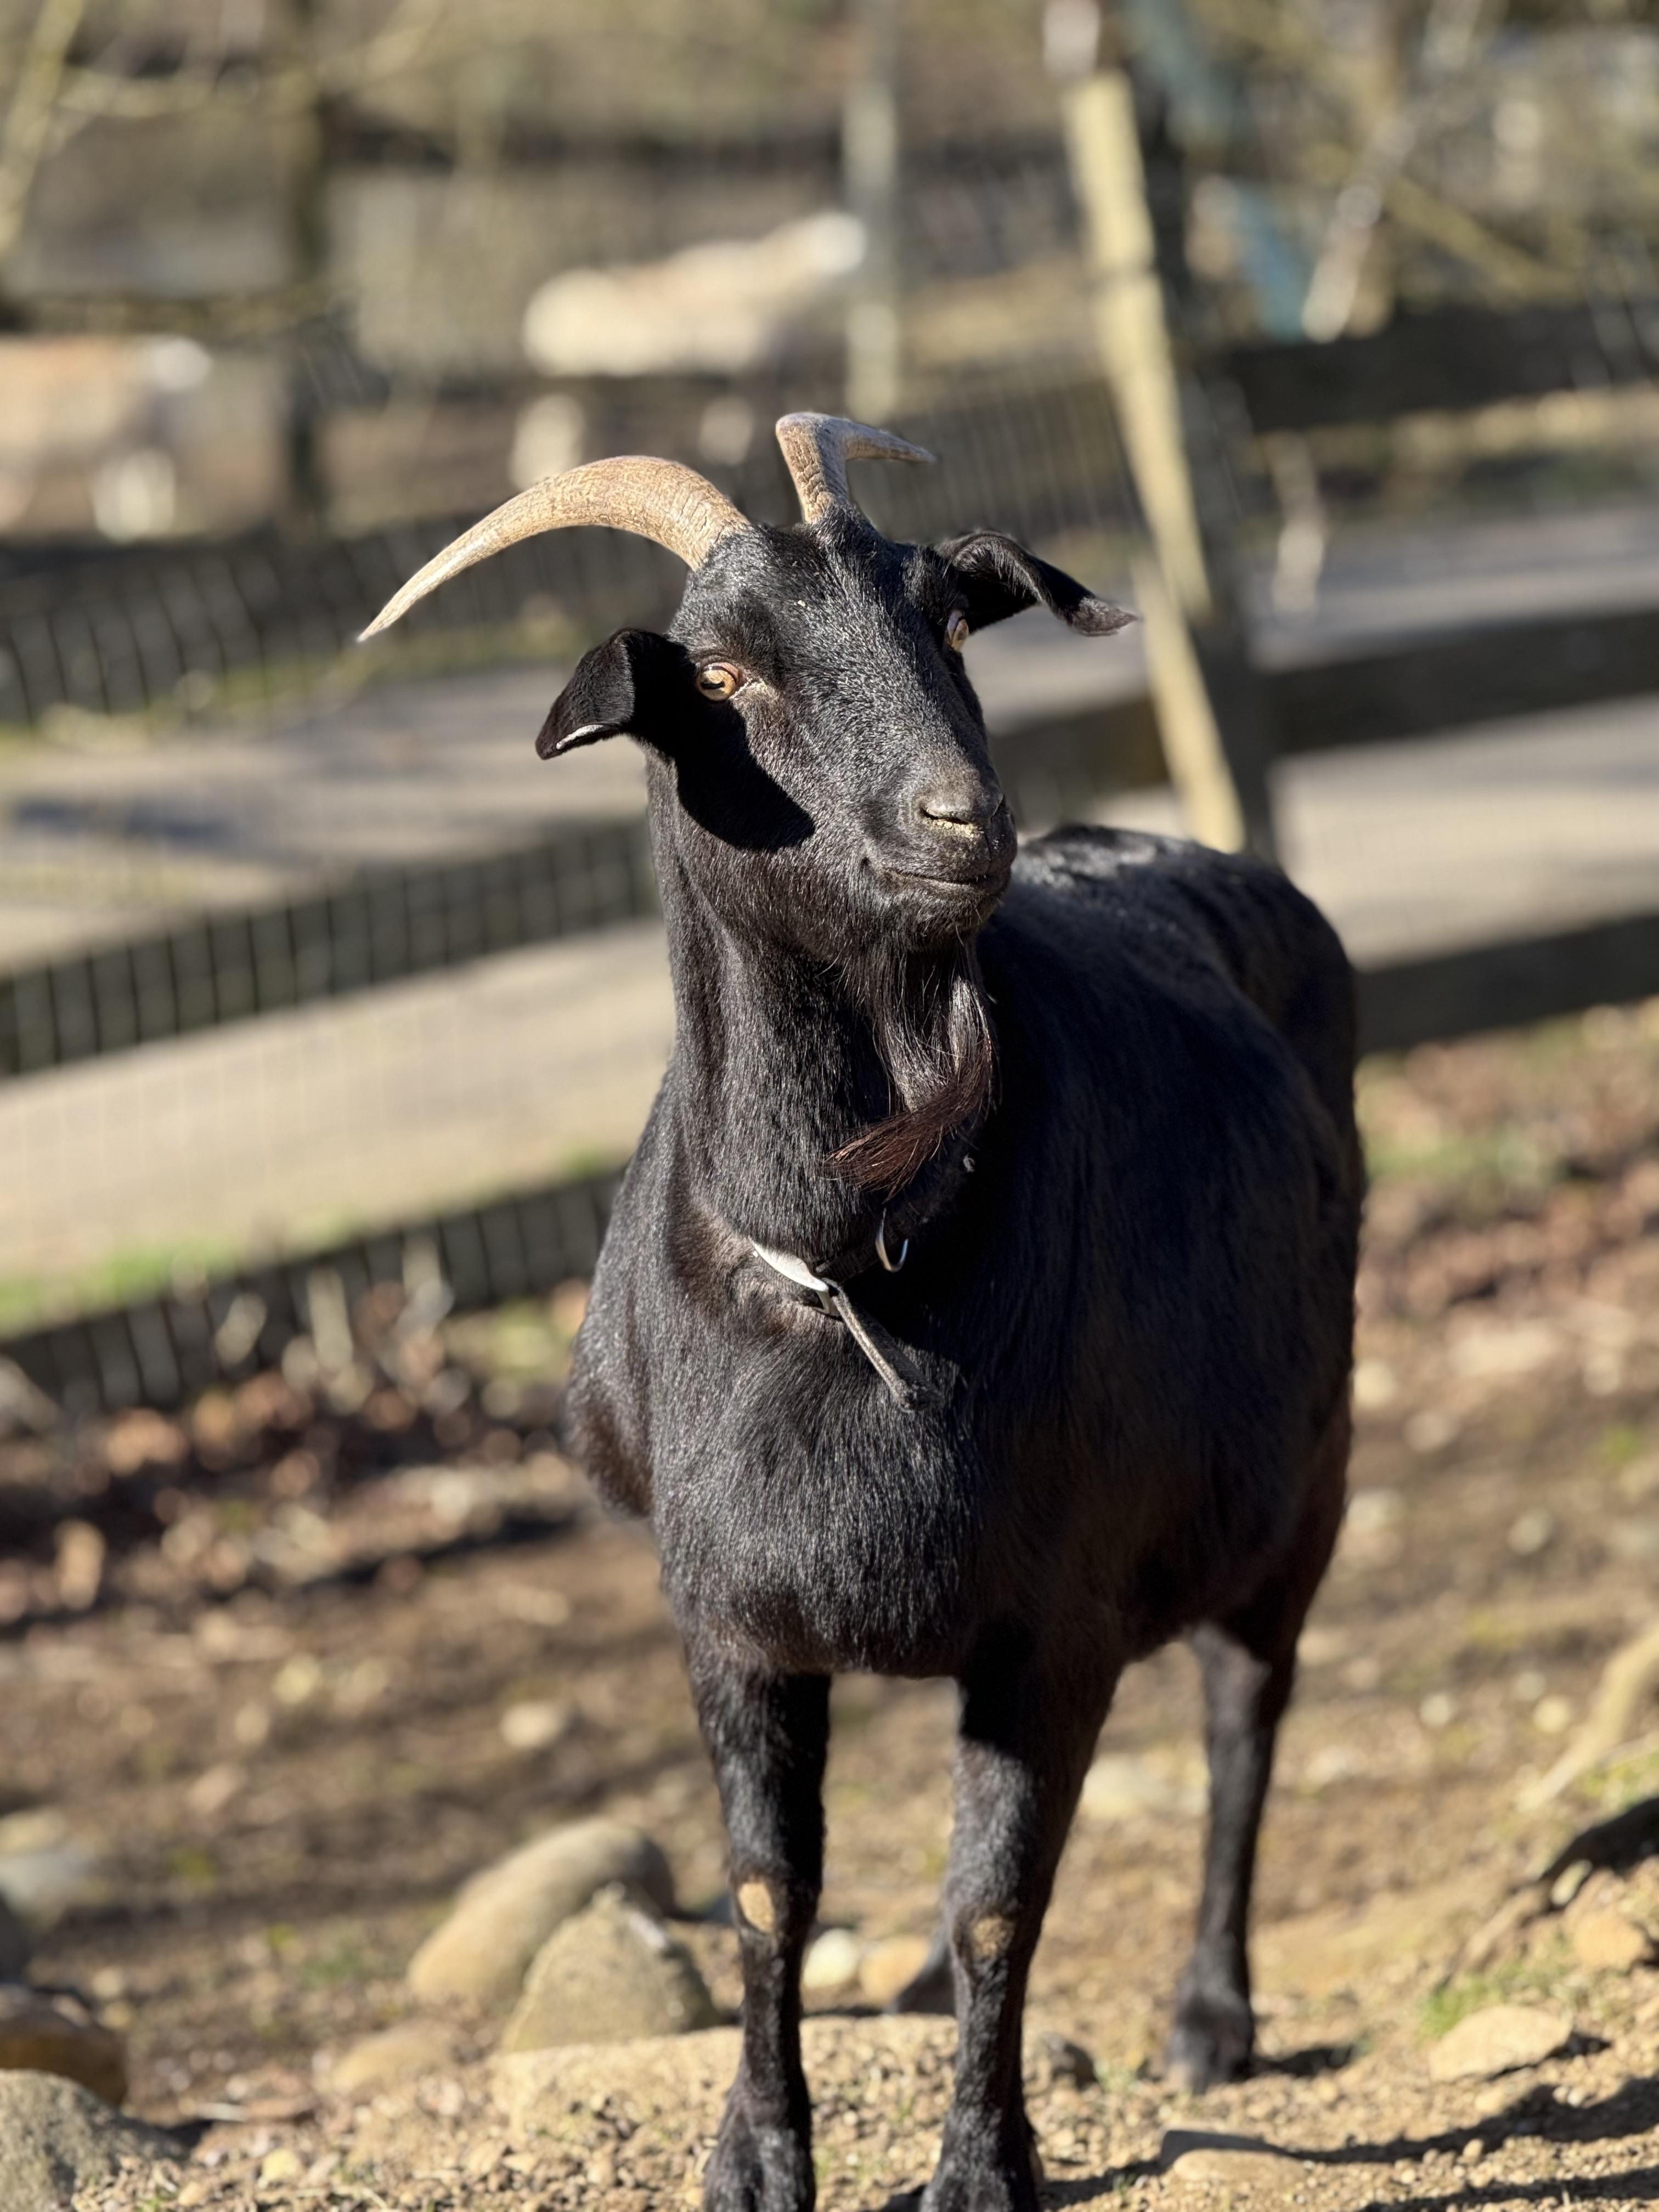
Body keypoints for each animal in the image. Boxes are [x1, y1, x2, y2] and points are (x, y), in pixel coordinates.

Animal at [363, 414, 1361, 2212]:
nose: (965, 821)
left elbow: (994, 1901)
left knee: (1247, 1719)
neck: (846, 1270)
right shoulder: (727, 1619)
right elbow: (772, 1892)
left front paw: (982, 2171)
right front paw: (757, 2160)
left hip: (1301, 1483)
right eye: (724, 670)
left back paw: (1212, 2017)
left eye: (950, 623)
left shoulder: (1055, 1618)